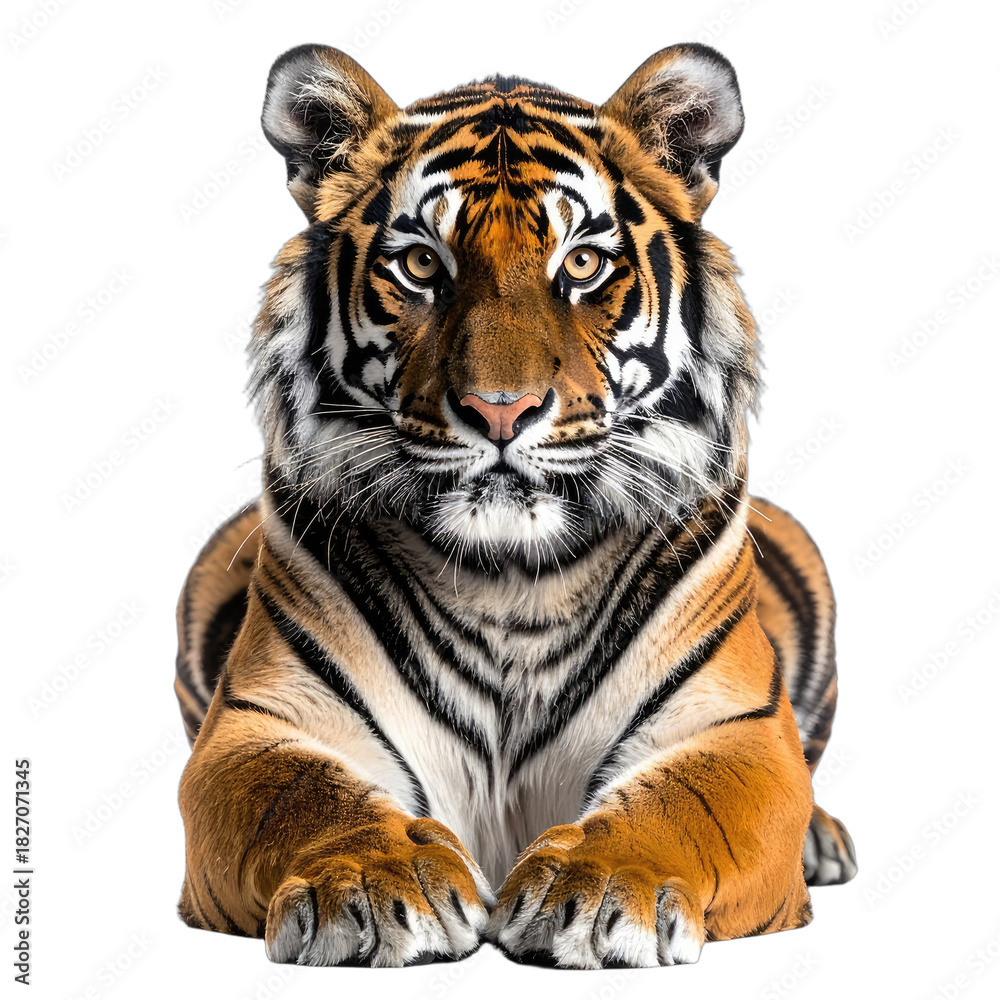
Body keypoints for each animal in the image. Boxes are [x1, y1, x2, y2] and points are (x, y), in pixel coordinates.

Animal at [174, 41, 857, 969]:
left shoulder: (734, 729)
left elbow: (680, 804)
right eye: (422, 264)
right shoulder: (254, 728)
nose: (501, 410)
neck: (510, 580)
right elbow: (306, 796)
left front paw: (603, 888)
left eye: (582, 264)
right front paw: (371, 882)